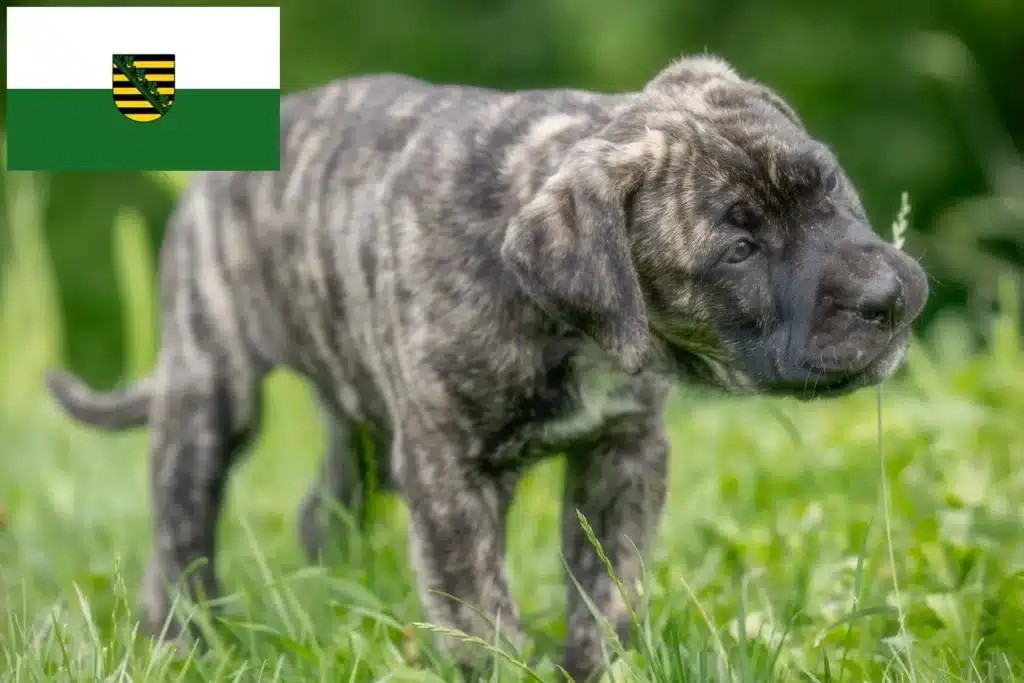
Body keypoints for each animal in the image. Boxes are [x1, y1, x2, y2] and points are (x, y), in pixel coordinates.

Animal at [46, 53, 929, 679]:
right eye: (739, 250)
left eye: (828, 183)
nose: (887, 297)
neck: (572, 325)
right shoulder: (449, 475)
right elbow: (482, 609)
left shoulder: (623, 452)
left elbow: (610, 588)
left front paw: (602, 665)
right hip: (209, 390)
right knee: (180, 534)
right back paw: (184, 641)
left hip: (364, 427)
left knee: (322, 509)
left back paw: (344, 595)